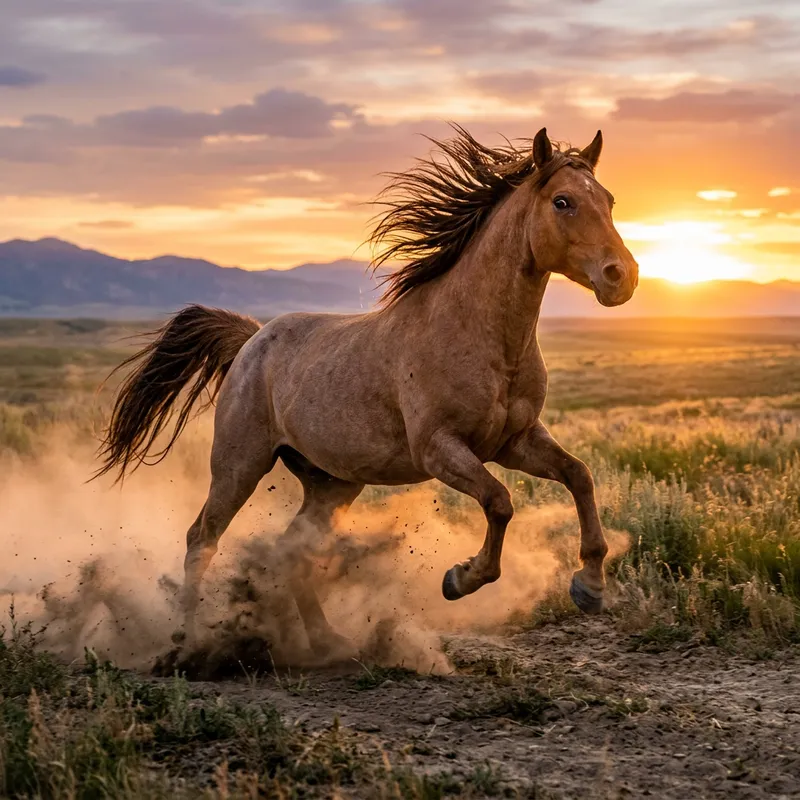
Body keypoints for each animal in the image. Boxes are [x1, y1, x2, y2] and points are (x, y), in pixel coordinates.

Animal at [96, 126, 638, 654]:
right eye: (563, 202)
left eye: (609, 200)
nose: (622, 277)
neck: (480, 335)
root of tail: (251, 339)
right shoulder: (438, 449)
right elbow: (500, 501)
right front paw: (460, 578)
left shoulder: (515, 441)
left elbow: (579, 475)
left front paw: (589, 586)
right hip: (240, 465)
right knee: (201, 538)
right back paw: (188, 643)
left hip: (331, 482)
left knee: (291, 549)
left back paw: (328, 642)